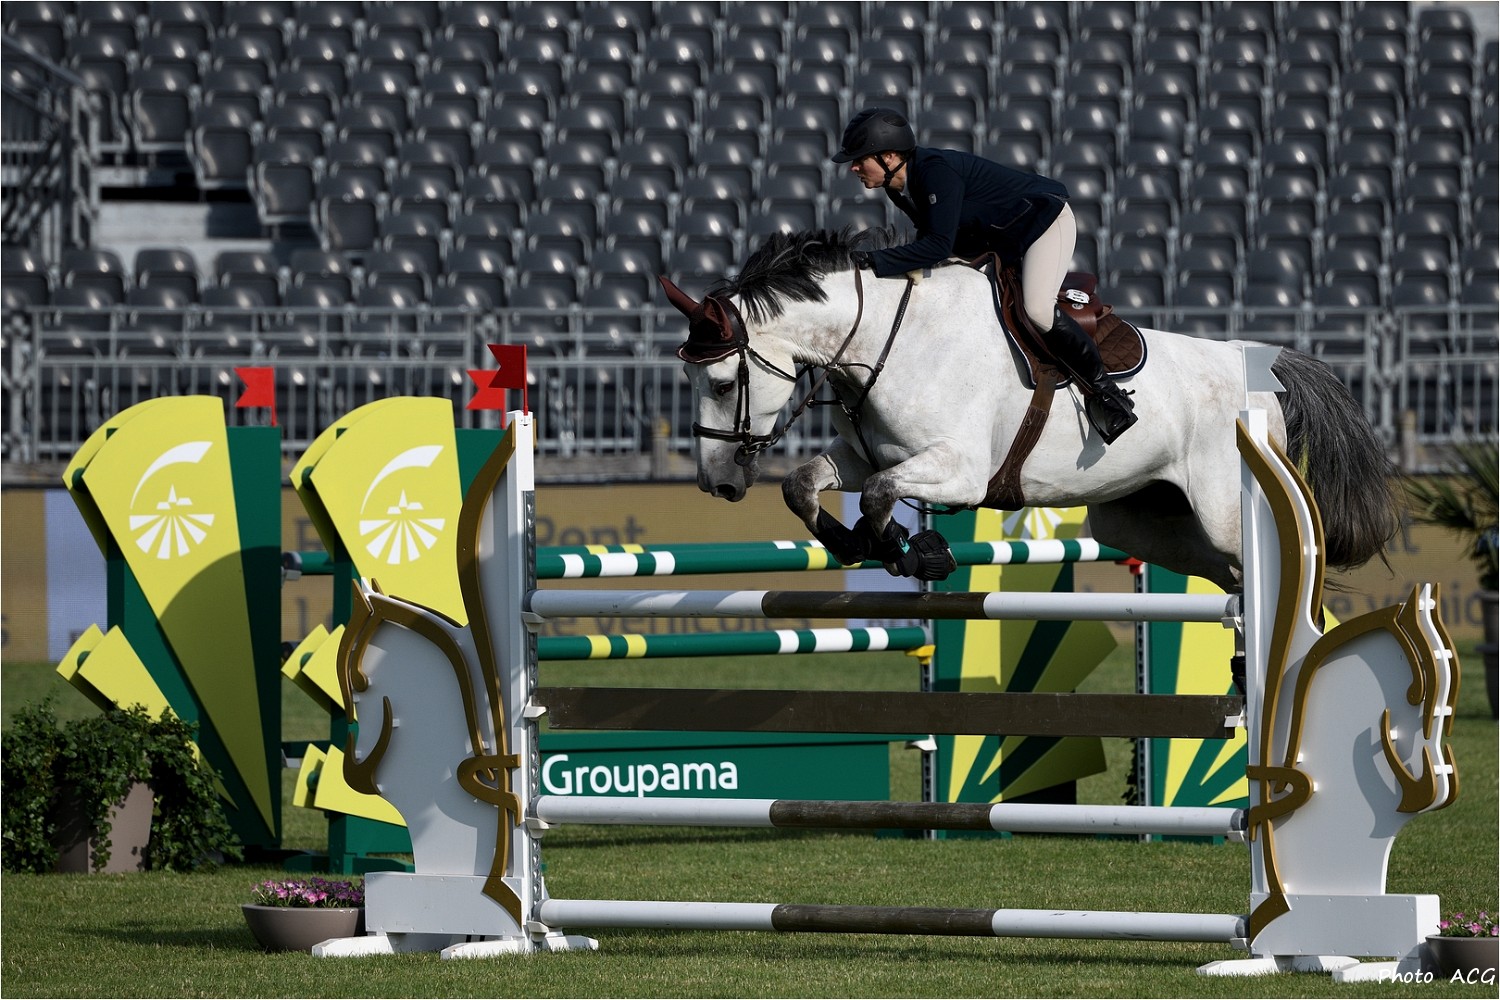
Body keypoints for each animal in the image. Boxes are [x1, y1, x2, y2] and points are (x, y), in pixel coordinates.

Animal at [660, 228, 1399, 593]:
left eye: (720, 383)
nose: (716, 483)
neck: (889, 340)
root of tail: (1261, 370)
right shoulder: (865, 454)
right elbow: (805, 483)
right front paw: (858, 545)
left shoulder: (960, 470)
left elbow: (878, 495)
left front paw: (915, 552)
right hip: (1148, 524)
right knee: (1235, 580)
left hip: (1223, 512)